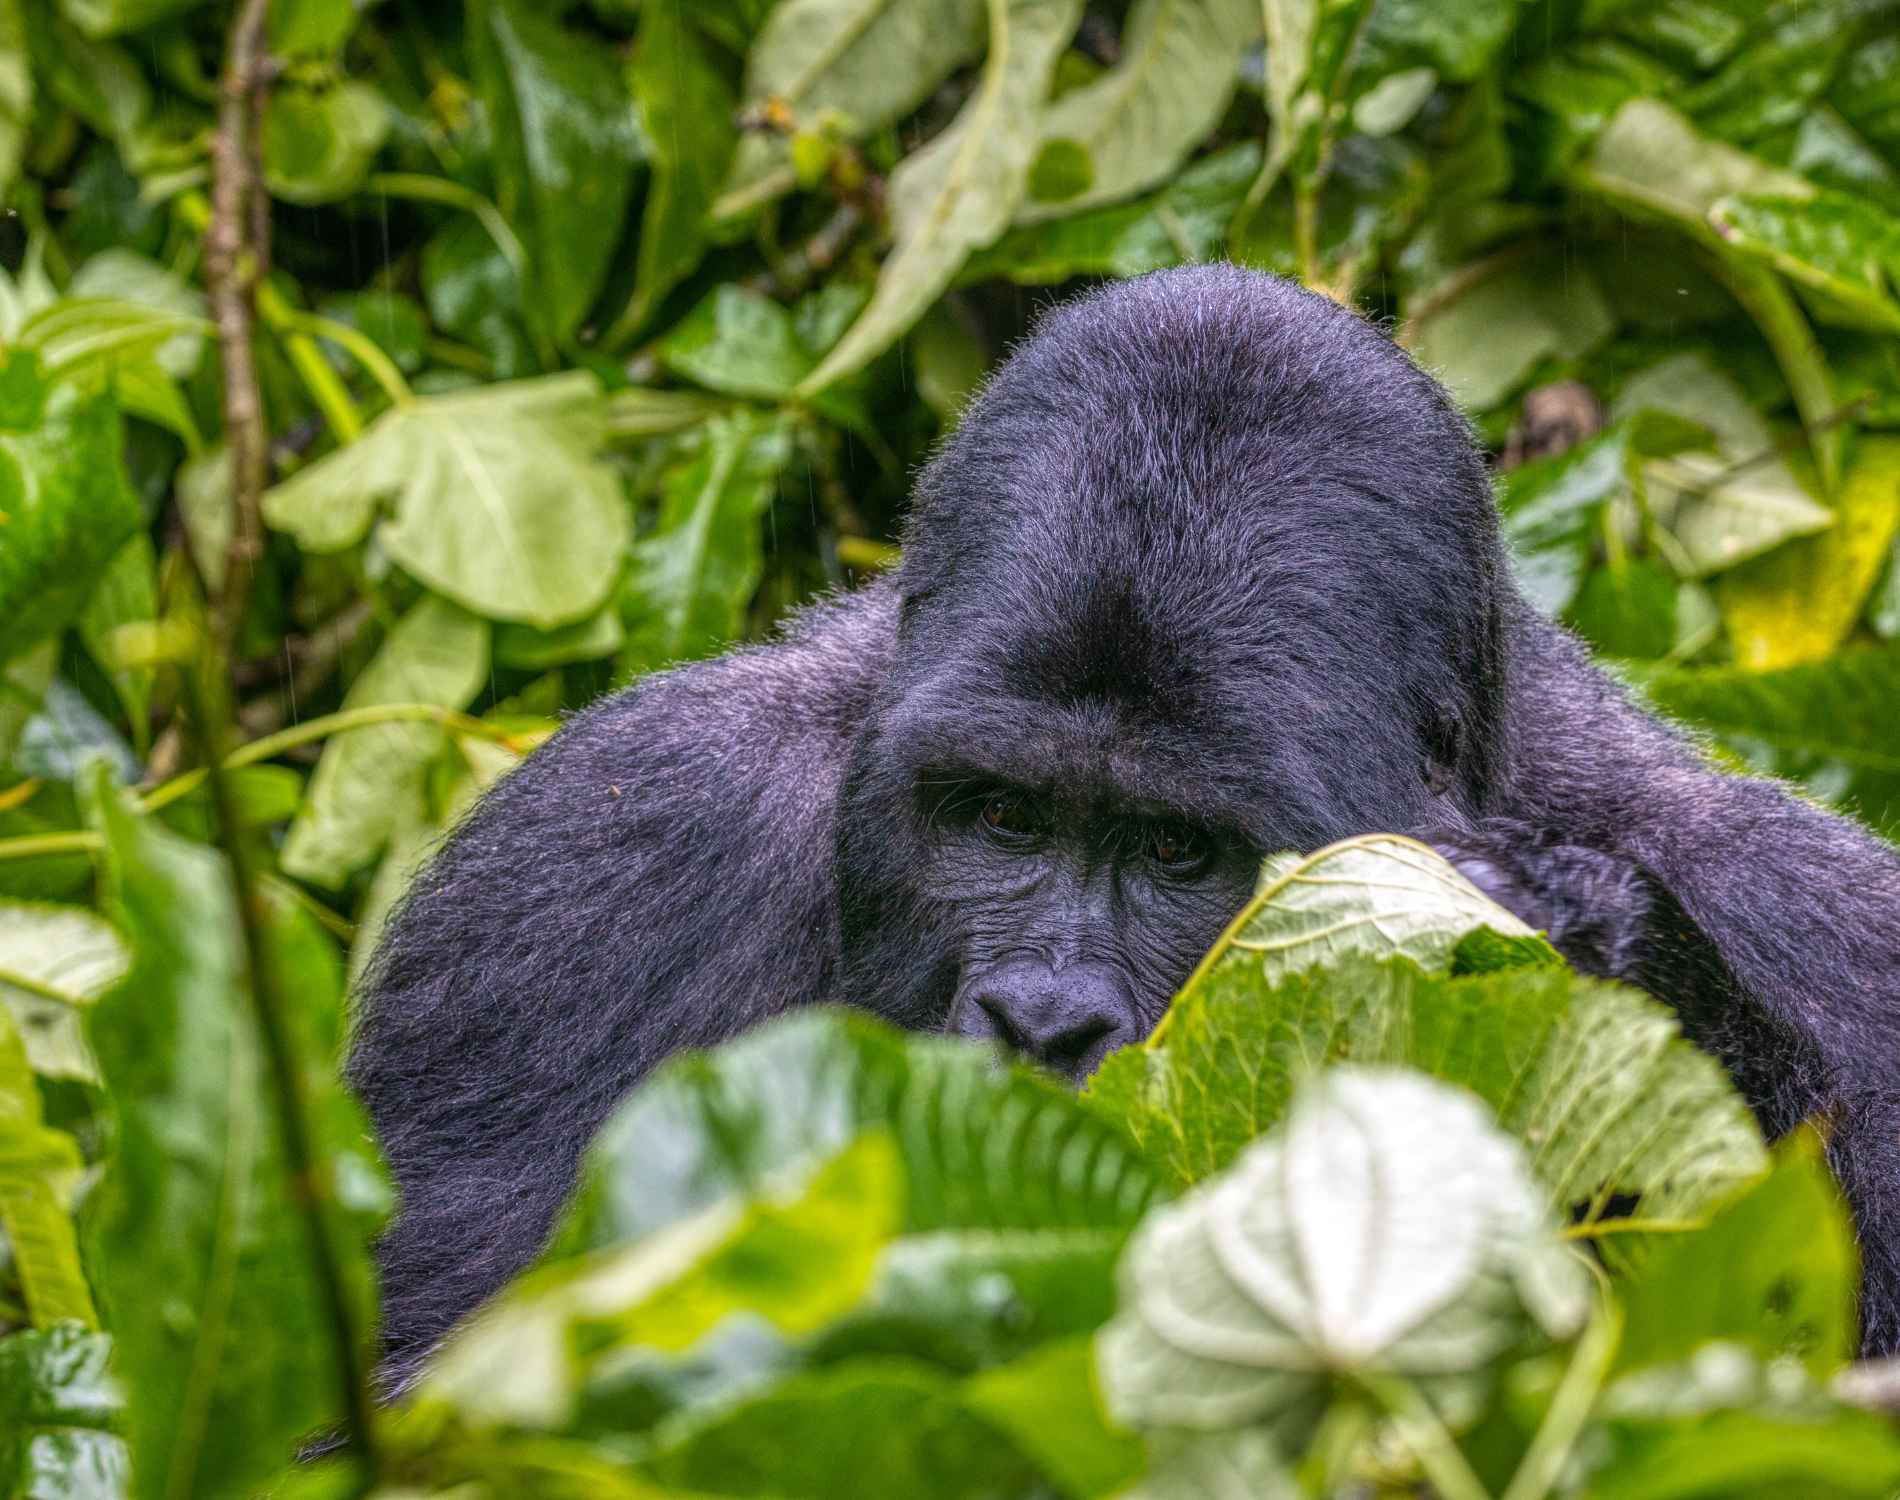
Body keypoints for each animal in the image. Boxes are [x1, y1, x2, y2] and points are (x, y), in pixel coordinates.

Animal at [349, 266, 1900, 1384]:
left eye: (1174, 852)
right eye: (1001, 819)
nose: (1041, 1022)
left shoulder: (1826, 926)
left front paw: (1619, 965)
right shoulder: (597, 876)